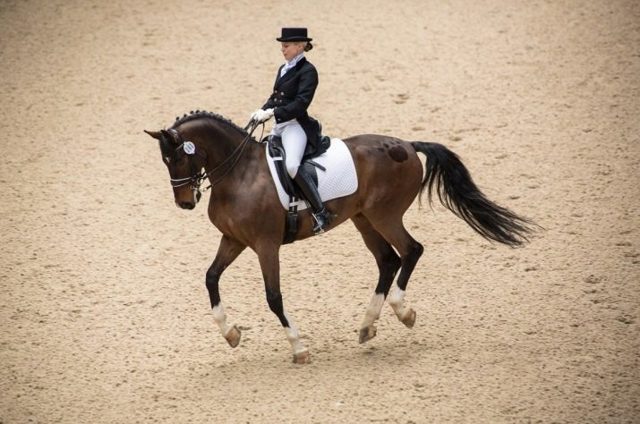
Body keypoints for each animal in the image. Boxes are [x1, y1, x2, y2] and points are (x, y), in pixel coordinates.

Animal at [144, 111, 536, 362]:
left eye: (178, 157)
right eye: (164, 161)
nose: (185, 202)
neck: (240, 174)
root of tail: (407, 146)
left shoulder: (266, 246)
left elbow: (273, 297)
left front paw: (298, 348)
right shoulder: (234, 240)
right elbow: (211, 278)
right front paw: (231, 334)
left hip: (384, 215)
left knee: (411, 250)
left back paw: (403, 312)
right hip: (363, 219)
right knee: (388, 260)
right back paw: (367, 326)